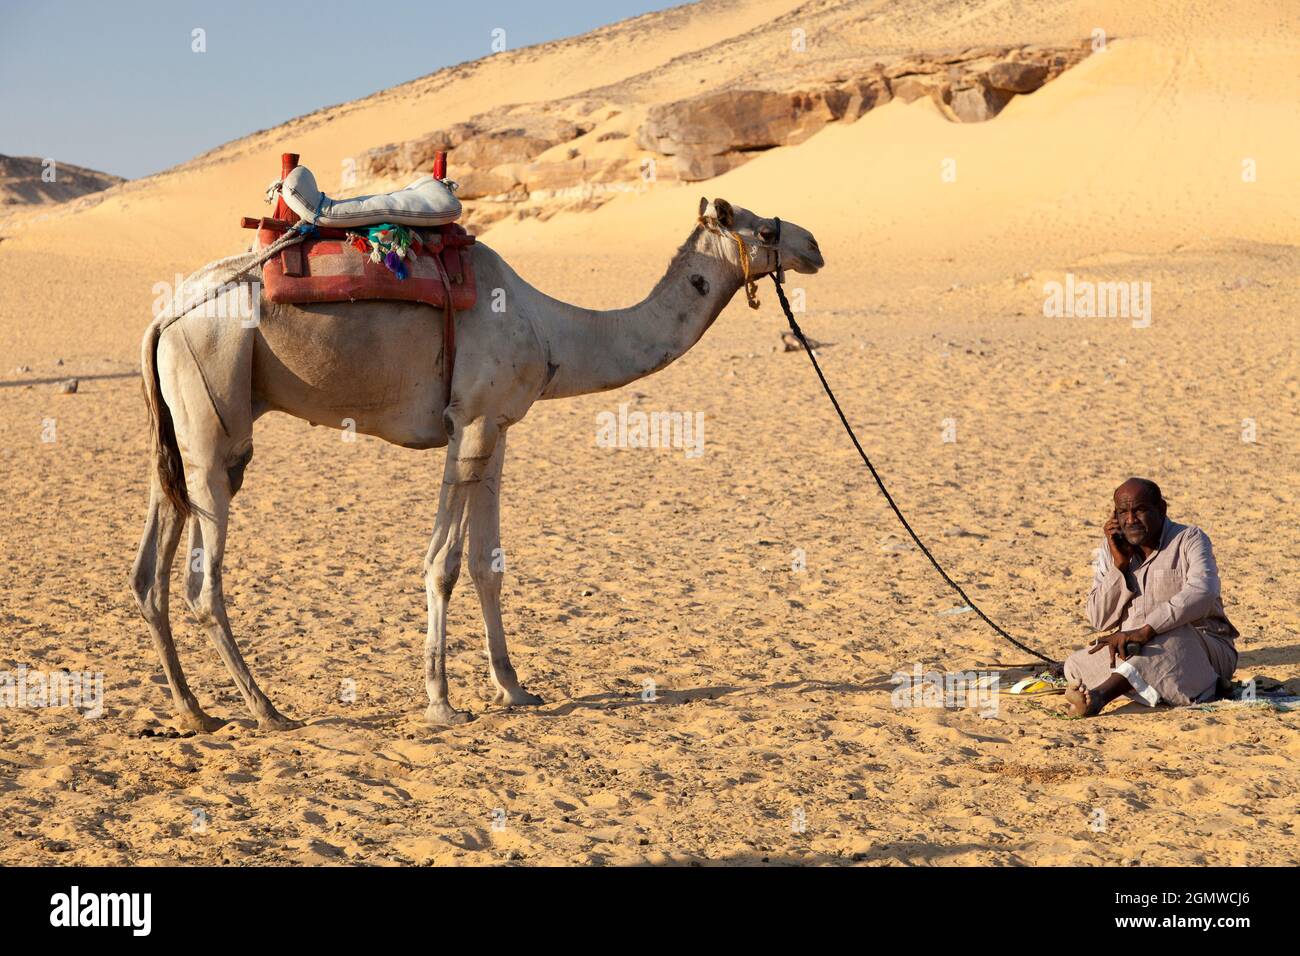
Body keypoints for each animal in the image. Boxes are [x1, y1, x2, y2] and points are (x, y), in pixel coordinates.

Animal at [131, 196, 821, 733]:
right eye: (763, 230)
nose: (813, 244)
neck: (553, 331)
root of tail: (163, 315)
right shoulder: (470, 421)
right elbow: (443, 564)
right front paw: (441, 704)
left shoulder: (499, 425)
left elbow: (490, 564)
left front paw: (514, 689)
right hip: (215, 413)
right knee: (201, 581)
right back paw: (267, 711)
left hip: (179, 433)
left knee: (149, 571)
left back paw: (194, 711)